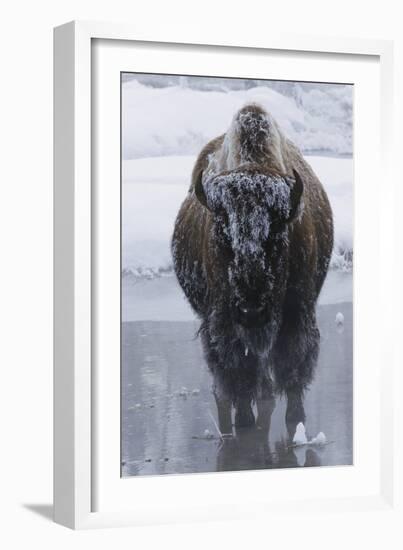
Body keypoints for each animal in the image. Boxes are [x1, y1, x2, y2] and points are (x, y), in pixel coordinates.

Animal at [172, 103, 332, 440]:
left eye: (277, 232)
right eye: (222, 232)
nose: (251, 310)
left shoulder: (296, 314)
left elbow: (292, 367)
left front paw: (296, 420)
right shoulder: (223, 323)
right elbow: (238, 372)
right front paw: (244, 422)